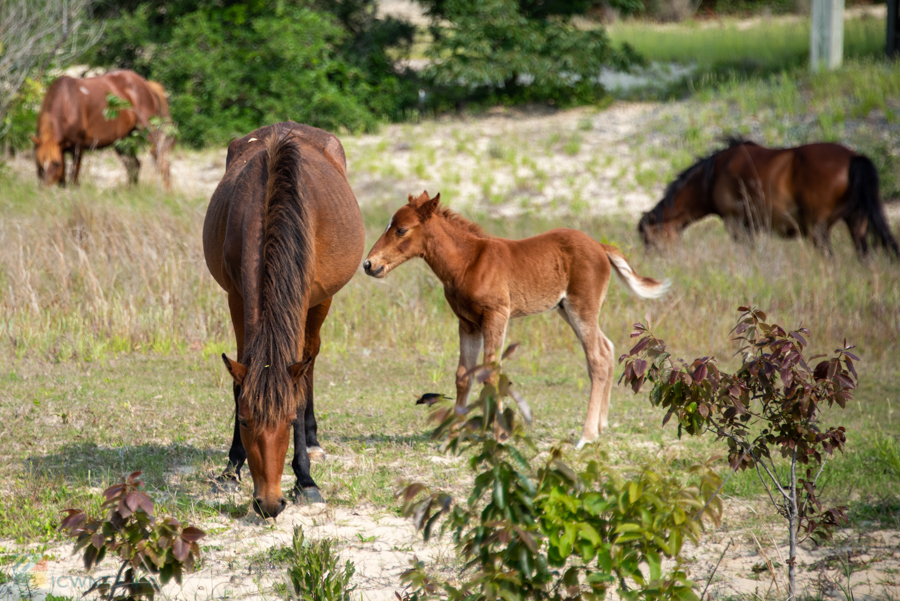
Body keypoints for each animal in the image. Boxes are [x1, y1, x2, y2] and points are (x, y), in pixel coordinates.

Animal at [32, 69, 174, 189]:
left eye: (56, 163)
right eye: (39, 163)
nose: (45, 188)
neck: (67, 102)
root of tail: (147, 85)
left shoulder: (77, 146)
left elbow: (74, 175)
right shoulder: (60, 149)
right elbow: (63, 178)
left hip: (148, 133)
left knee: (162, 162)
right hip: (122, 140)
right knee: (134, 165)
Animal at [204, 120, 366, 516]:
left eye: (288, 421)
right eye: (245, 420)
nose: (269, 502)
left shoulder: (307, 297)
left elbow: (300, 383)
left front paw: (305, 479)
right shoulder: (236, 297)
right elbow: (239, 381)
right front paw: (232, 465)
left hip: (321, 302)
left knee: (310, 360)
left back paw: (313, 442)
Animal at [364, 190, 668, 448]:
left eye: (401, 229)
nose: (369, 264)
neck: (468, 262)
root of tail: (600, 246)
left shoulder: (496, 315)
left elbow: (490, 373)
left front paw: (499, 434)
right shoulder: (467, 323)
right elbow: (463, 375)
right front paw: (450, 437)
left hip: (582, 308)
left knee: (597, 359)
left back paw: (587, 436)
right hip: (566, 309)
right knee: (606, 348)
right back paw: (601, 426)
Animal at [636, 138, 896, 258]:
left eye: (650, 242)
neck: (712, 176)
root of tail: (854, 158)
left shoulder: (737, 224)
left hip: (818, 230)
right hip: (857, 224)